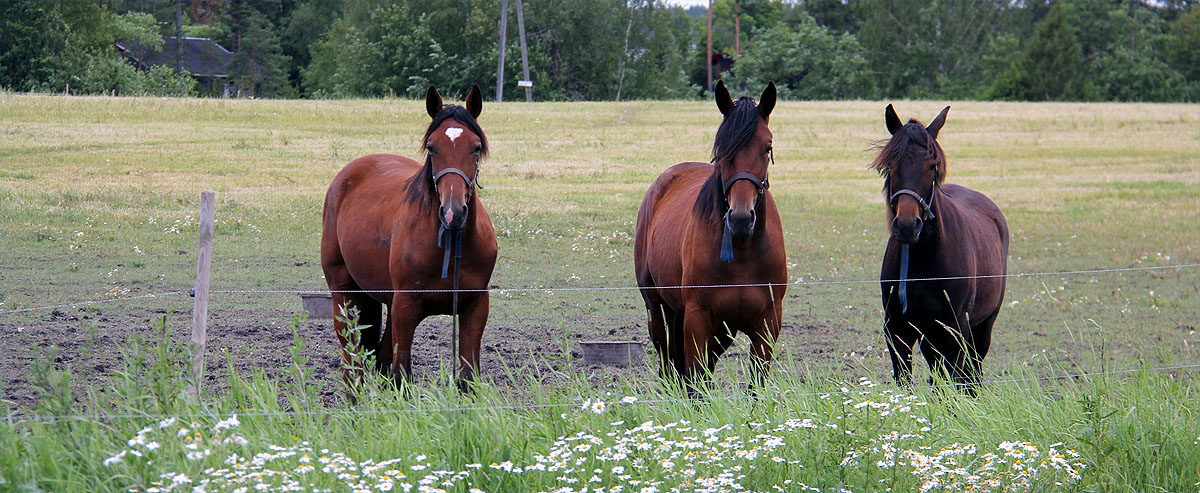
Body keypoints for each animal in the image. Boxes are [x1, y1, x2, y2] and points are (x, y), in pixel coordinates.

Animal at [321, 85, 497, 393]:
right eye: (432, 147)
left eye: (476, 147)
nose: (452, 212)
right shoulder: (406, 306)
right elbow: (401, 374)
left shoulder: (475, 305)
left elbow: (467, 379)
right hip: (344, 294)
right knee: (353, 364)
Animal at [634, 80, 787, 397]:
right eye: (721, 150)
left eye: (767, 147)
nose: (741, 219)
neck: (743, 252)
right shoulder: (698, 320)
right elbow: (695, 383)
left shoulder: (767, 323)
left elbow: (754, 388)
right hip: (656, 306)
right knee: (667, 360)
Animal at [872, 104, 1009, 396]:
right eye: (890, 165)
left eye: (932, 166)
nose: (907, 225)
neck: (923, 261)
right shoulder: (898, 329)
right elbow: (907, 383)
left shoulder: (954, 329)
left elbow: (955, 381)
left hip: (982, 327)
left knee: (972, 373)